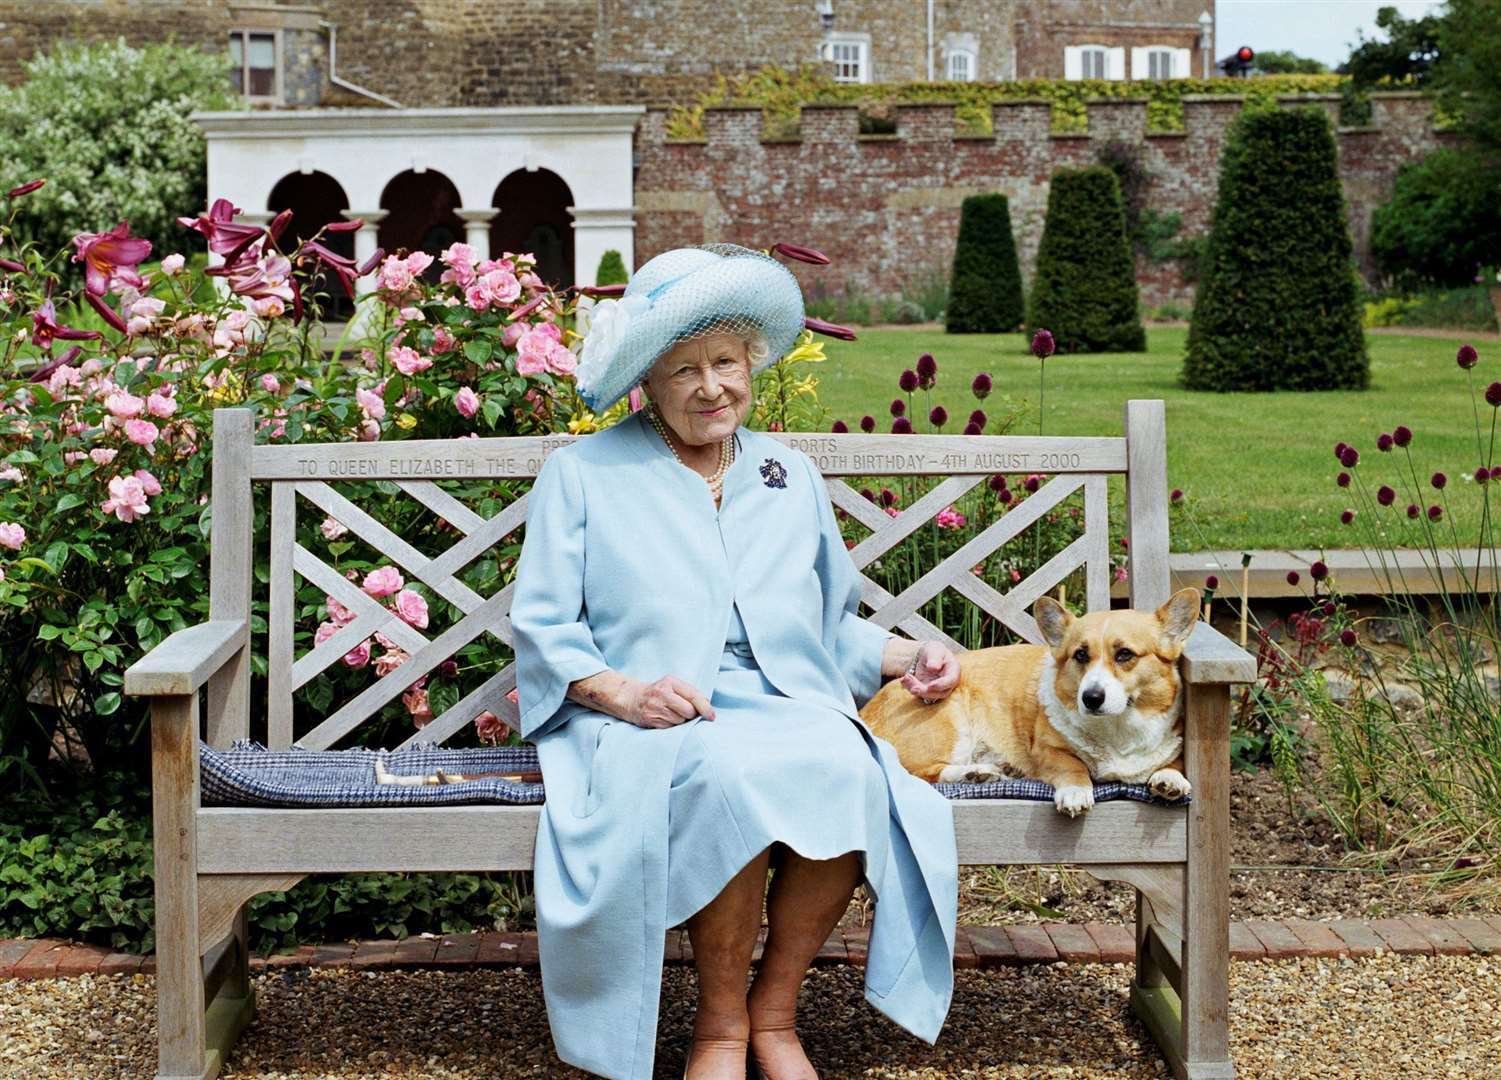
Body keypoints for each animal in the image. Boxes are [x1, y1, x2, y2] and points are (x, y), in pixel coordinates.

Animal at [864, 585, 1200, 816]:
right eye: (1080, 655)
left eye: (1125, 654)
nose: (1090, 698)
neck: (1116, 728)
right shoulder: (1047, 751)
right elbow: (1072, 764)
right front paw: (1076, 792)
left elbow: (1172, 761)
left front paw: (1170, 779)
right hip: (949, 718)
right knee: (920, 773)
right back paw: (975, 774)